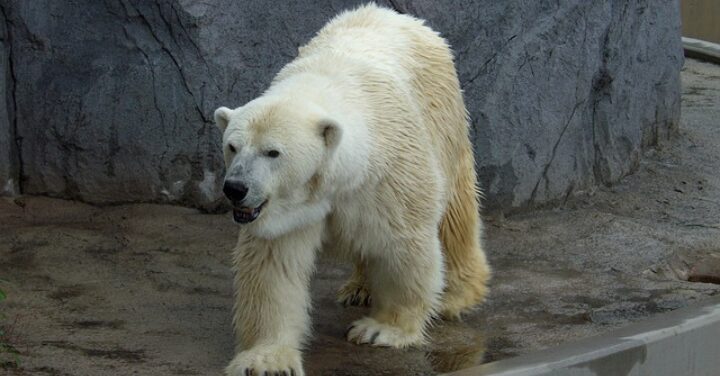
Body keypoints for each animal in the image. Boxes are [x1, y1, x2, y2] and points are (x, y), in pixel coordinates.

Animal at [214, 3, 492, 376]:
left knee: (454, 216)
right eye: (232, 146)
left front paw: (382, 330)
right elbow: (274, 268)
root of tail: (400, 17)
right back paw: (359, 288)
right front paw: (266, 359)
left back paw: (456, 295)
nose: (236, 188)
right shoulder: (288, 211)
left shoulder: (390, 174)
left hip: (444, 119)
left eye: (272, 152)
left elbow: (403, 244)